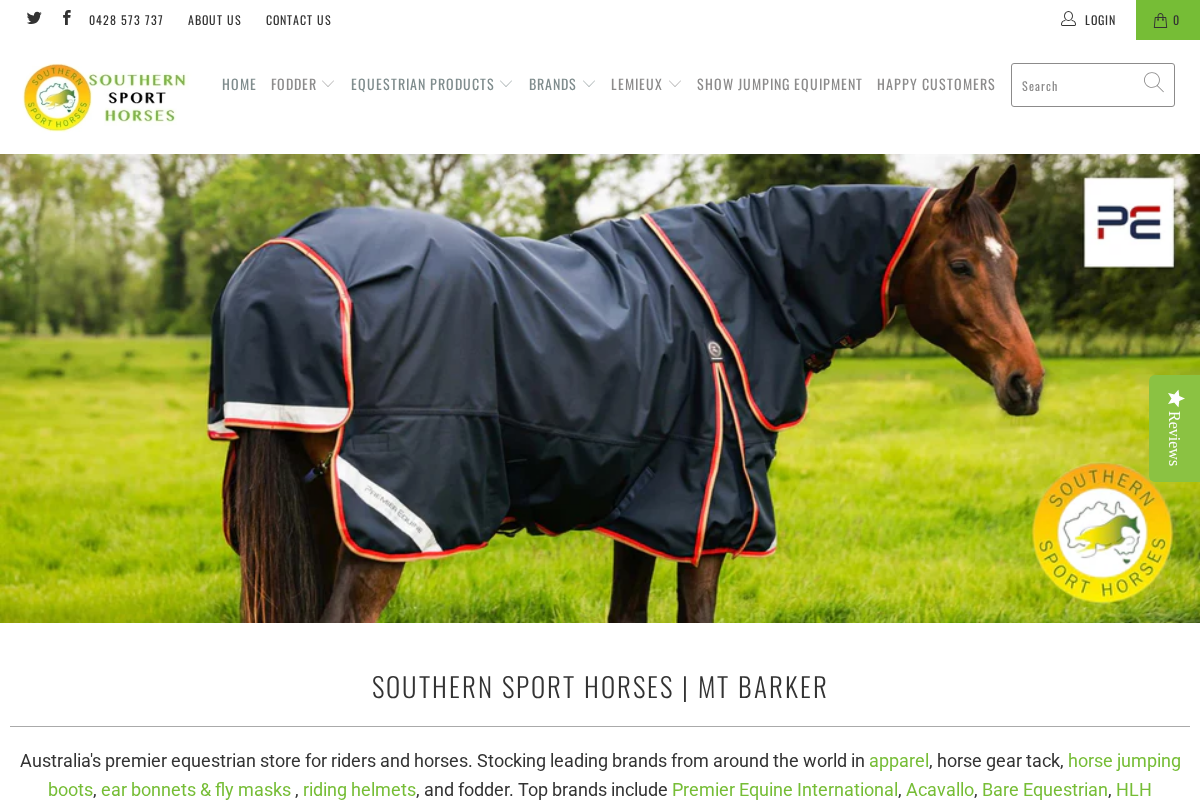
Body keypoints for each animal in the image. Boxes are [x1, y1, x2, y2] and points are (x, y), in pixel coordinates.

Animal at [213, 164, 1043, 623]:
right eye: (962, 264)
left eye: (1014, 261)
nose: (1026, 384)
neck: (754, 284)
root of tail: (280, 263)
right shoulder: (709, 513)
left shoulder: (647, 511)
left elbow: (627, 617)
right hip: (386, 524)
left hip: (324, 515)